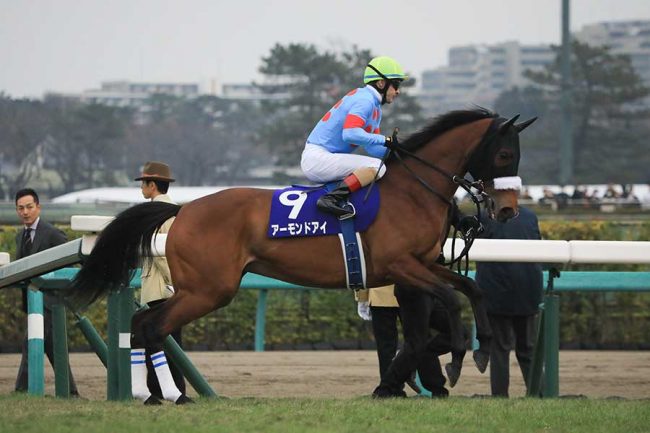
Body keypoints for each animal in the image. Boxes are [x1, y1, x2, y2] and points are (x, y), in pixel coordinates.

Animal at [68, 107, 535, 398]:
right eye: (504, 153)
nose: (507, 210)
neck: (412, 191)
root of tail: (182, 210)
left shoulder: (419, 266)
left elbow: (469, 292)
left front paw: (479, 349)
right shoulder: (402, 265)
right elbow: (452, 299)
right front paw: (457, 358)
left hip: (199, 289)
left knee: (142, 324)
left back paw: (149, 394)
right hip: (209, 290)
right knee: (152, 326)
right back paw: (168, 396)